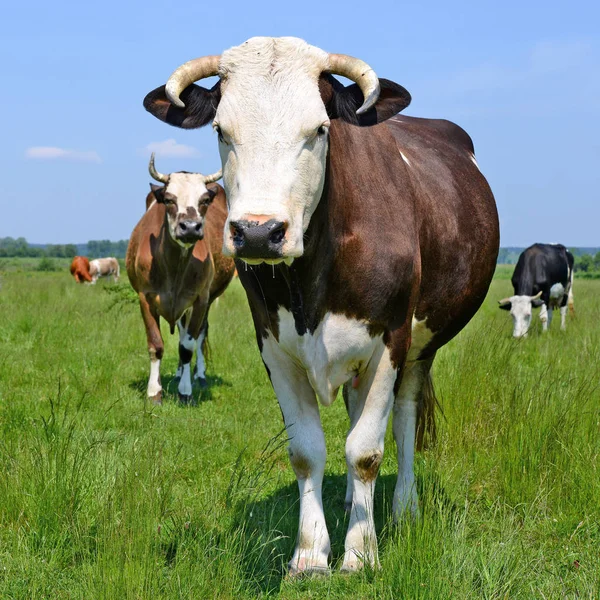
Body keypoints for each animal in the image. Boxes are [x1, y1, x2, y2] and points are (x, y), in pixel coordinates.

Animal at [126, 155, 234, 404]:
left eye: (205, 200)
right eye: (168, 199)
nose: (191, 227)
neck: (173, 266)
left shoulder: (200, 299)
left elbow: (188, 346)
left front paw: (186, 391)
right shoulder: (145, 298)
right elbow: (156, 344)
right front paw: (154, 392)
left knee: (198, 335)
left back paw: (198, 375)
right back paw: (177, 373)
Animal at [143, 36, 500, 572]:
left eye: (319, 128)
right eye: (221, 129)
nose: (258, 233)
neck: (310, 278)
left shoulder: (390, 341)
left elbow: (367, 451)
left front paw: (361, 554)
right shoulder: (274, 347)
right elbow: (307, 451)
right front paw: (311, 555)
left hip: (421, 347)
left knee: (403, 420)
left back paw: (403, 509)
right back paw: (356, 503)